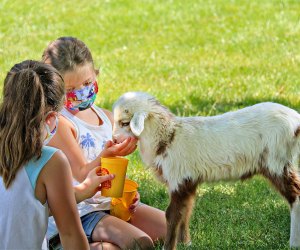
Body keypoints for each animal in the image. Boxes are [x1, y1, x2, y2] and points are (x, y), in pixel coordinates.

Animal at [112, 92, 300, 250]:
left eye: (125, 123)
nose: (114, 140)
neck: (168, 138)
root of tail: (295, 120)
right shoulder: (188, 181)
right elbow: (186, 211)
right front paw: (186, 243)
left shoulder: (178, 178)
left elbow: (172, 215)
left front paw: (169, 247)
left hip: (277, 162)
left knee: (295, 196)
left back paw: (293, 243)